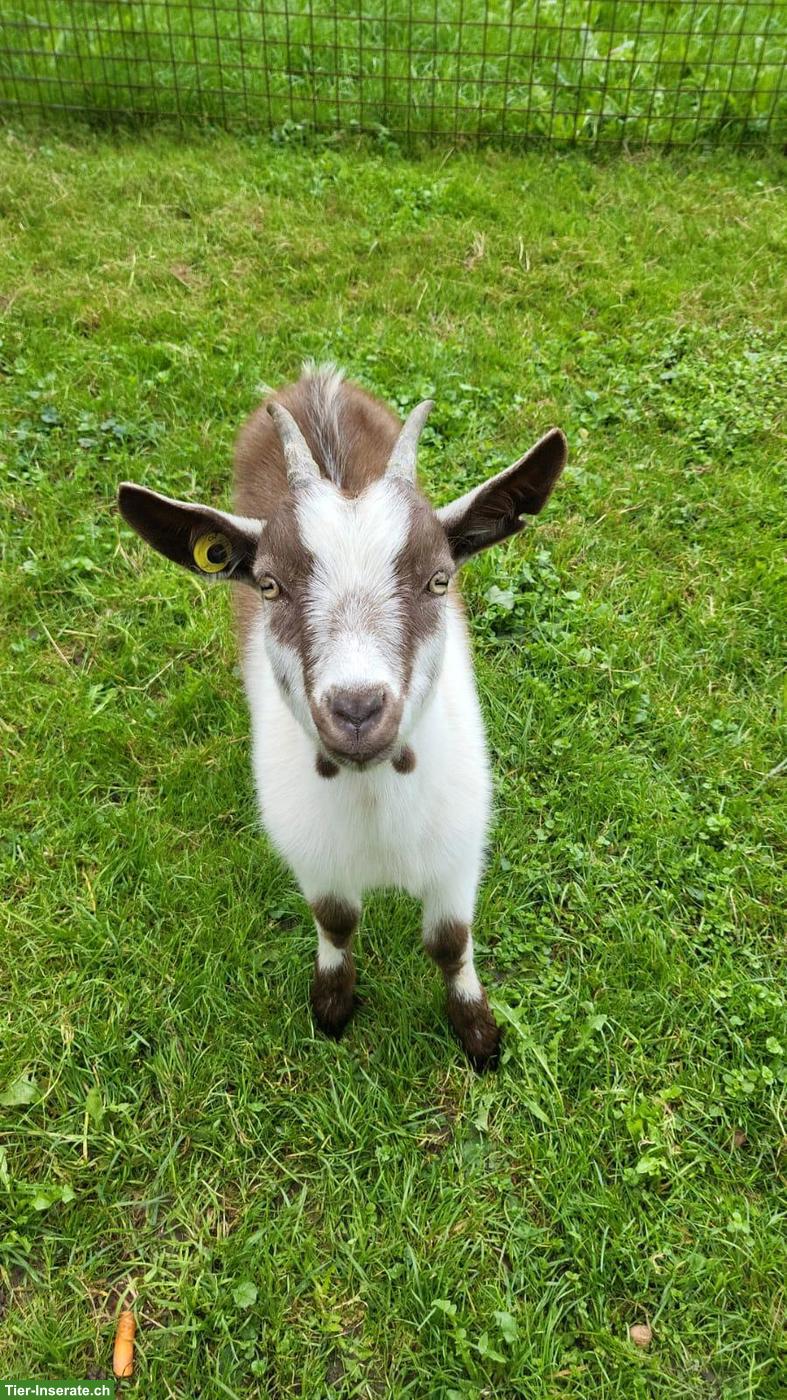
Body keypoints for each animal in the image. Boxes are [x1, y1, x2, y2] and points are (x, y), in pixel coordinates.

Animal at [118, 365, 567, 1070]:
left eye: (439, 580)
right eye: (269, 584)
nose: (357, 710)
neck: (372, 797)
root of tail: (316, 377)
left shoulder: (458, 847)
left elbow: (449, 941)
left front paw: (479, 1035)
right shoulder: (311, 851)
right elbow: (336, 922)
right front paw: (332, 1006)